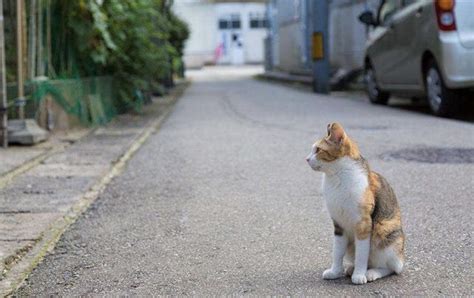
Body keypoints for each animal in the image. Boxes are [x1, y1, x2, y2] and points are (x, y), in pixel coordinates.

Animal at [308, 123, 404, 284]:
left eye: (318, 150)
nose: (306, 159)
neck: (336, 176)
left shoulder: (363, 224)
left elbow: (361, 254)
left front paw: (359, 275)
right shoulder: (338, 225)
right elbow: (337, 252)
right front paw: (335, 271)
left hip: (384, 232)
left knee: (392, 268)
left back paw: (371, 273)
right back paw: (350, 269)